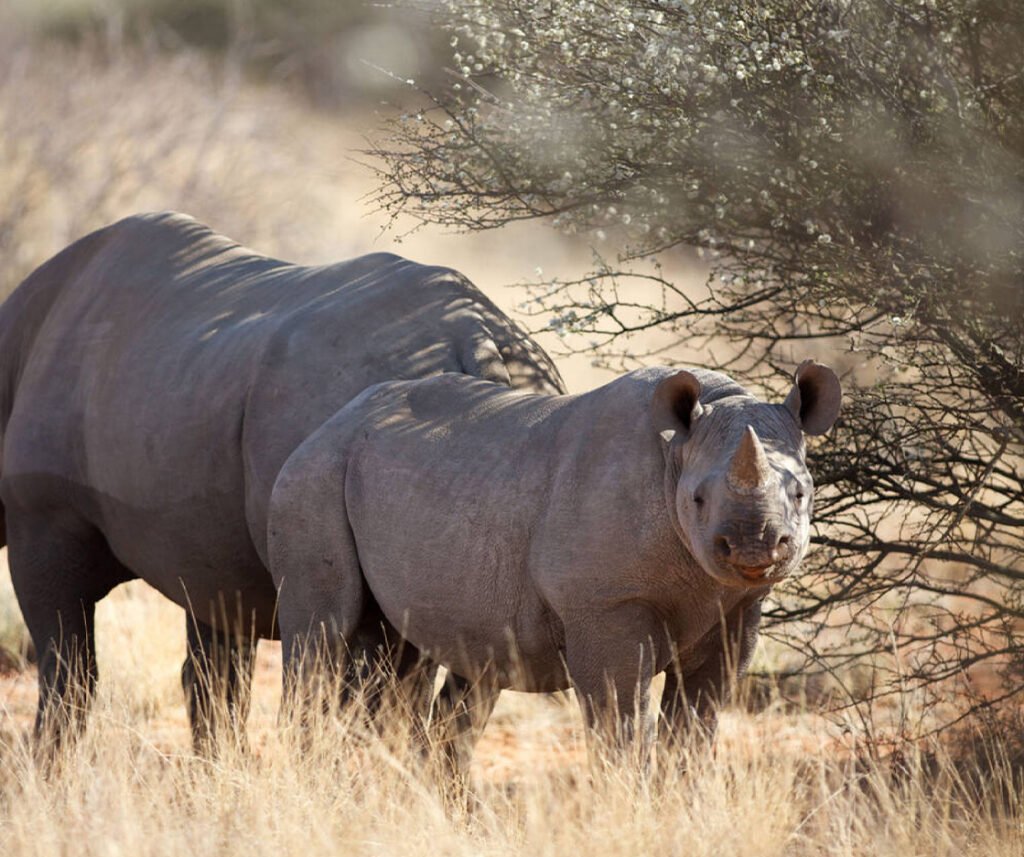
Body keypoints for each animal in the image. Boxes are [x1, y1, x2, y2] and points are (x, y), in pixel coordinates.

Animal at [0, 211, 564, 748]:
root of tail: (477, 337)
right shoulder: (202, 553)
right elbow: (213, 681)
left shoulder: (42, 520)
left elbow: (69, 671)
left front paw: (48, 772)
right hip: (518, 401)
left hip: (346, 393)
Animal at [268, 362, 840, 767]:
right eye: (697, 500)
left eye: (801, 493)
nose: (755, 548)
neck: (676, 455)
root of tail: (330, 422)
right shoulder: (606, 604)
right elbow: (622, 720)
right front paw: (630, 810)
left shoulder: (736, 606)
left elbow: (697, 722)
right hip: (315, 474)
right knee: (322, 635)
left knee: (408, 659)